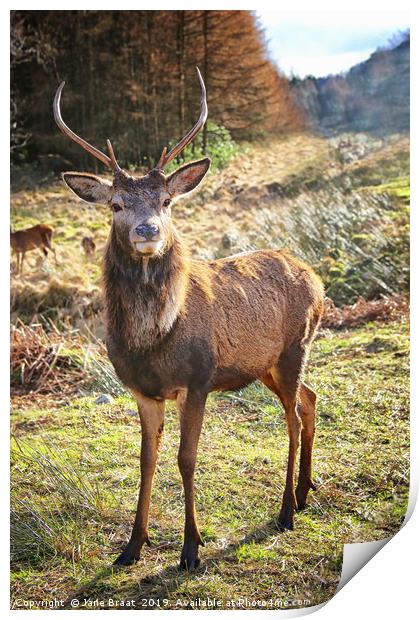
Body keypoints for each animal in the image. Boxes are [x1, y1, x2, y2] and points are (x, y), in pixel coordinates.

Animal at [53, 69, 324, 572]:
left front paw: (190, 549)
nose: (148, 231)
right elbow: (146, 459)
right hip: (266, 364)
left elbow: (186, 458)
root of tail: (316, 277)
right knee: (310, 399)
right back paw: (304, 492)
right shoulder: (143, 391)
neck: (154, 342)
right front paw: (131, 547)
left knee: (294, 418)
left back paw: (285, 512)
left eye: (166, 201)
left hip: (296, 345)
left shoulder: (198, 379)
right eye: (115, 204)